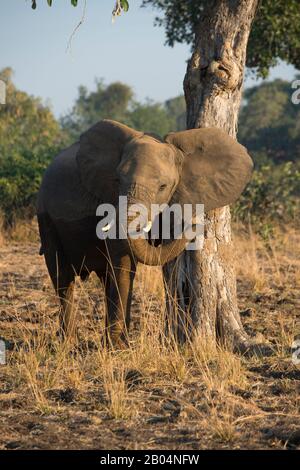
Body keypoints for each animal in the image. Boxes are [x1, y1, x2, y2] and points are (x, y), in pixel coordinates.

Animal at [37, 120, 253, 348]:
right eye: (117, 180)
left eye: (163, 186)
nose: (196, 223)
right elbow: (123, 262)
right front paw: (119, 347)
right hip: (45, 217)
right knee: (62, 276)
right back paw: (67, 342)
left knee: (103, 279)